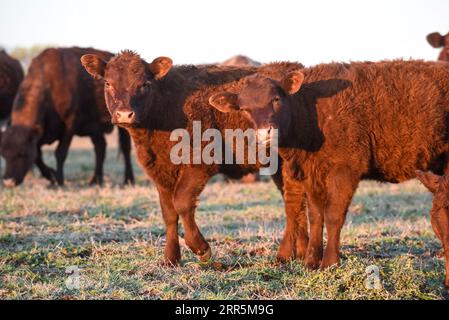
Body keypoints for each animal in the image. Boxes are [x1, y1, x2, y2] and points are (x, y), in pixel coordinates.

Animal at [0, 48, 134, 188]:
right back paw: (95, 180)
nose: (8, 182)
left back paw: (128, 180)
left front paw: (58, 180)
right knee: (100, 148)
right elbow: (37, 156)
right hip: (95, 129)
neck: (50, 85)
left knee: (125, 148)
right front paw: (51, 175)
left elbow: (60, 153)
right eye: (3, 154)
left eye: (22, 154)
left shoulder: (69, 125)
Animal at [209, 60, 449, 270]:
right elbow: (315, 215)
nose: (264, 133)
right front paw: (311, 261)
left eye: (276, 99)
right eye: (244, 108)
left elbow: (333, 215)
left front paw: (330, 262)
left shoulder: (345, 168)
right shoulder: (311, 172)